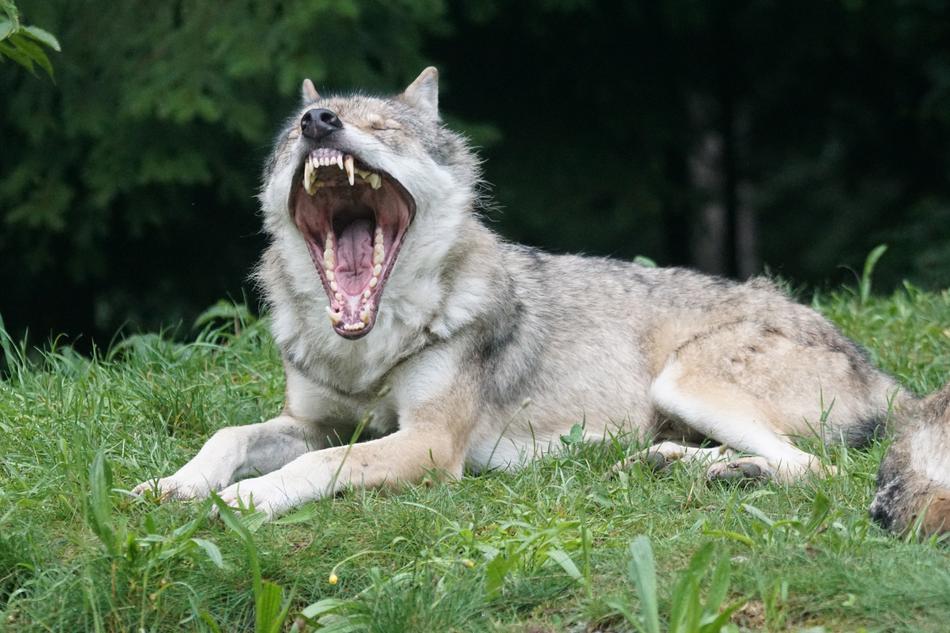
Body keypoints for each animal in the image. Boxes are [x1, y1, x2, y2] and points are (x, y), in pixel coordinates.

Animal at [134, 68, 950, 533]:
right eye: (294, 136)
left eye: (382, 127)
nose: (318, 122)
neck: (368, 346)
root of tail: (882, 371)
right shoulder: (313, 421)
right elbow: (229, 437)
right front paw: (167, 486)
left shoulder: (427, 444)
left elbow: (310, 470)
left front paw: (237, 503)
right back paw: (675, 465)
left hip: (686, 379)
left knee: (818, 470)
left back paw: (722, 474)